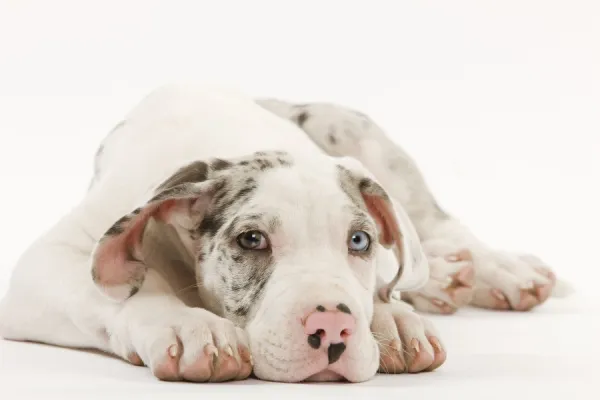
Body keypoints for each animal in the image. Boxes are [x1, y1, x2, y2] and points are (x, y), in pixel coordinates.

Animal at [0, 84, 564, 382]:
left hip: (353, 129)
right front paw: (188, 326)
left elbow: (388, 276)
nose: (333, 326)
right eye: (252, 241)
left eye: (359, 240)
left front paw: (391, 320)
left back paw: (493, 270)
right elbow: (125, 293)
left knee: (437, 225)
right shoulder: (47, 262)